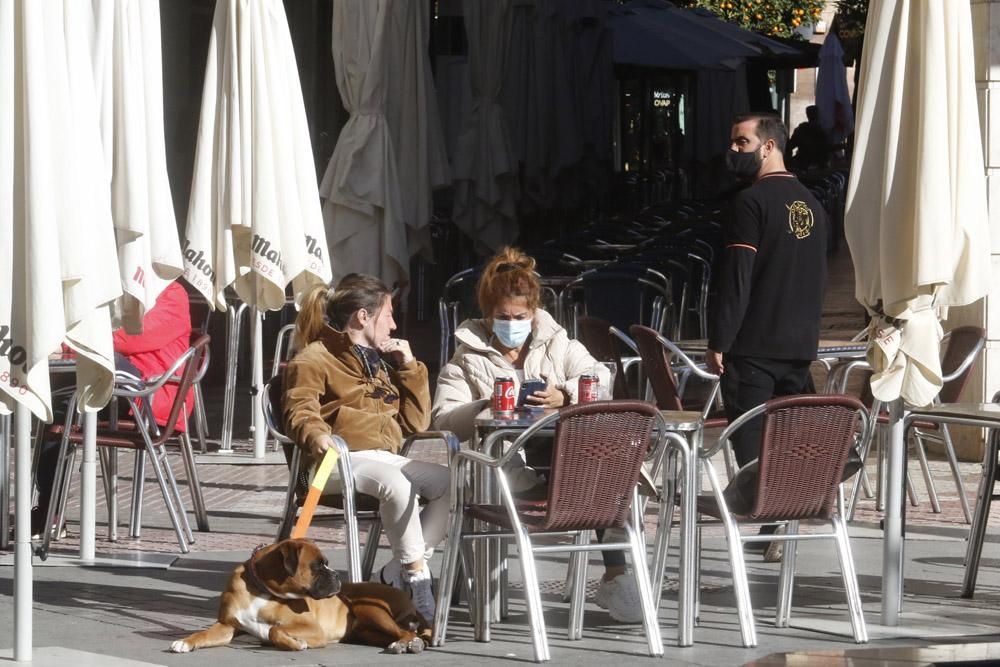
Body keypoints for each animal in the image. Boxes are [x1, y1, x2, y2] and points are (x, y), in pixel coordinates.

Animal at [169, 540, 434, 656]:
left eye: (325, 564)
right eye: (317, 566)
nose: (335, 574)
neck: (260, 588)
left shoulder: (313, 628)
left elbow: (275, 630)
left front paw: (295, 643)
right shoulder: (226, 626)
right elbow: (204, 634)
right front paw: (186, 641)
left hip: (370, 609)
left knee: (408, 633)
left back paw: (405, 644)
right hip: (367, 630)